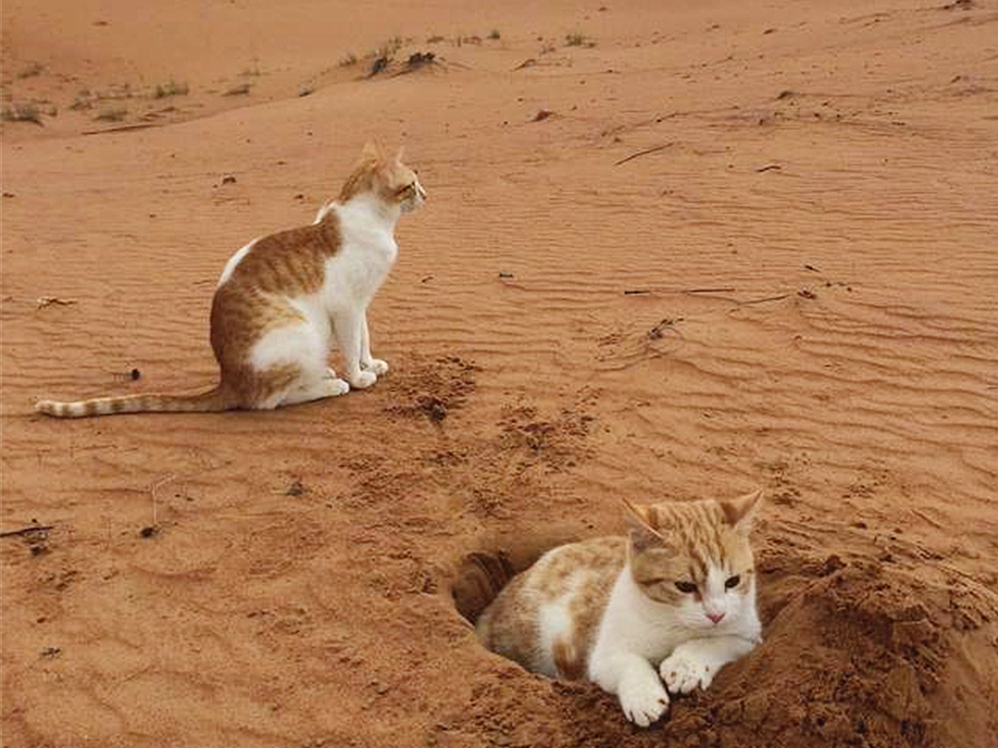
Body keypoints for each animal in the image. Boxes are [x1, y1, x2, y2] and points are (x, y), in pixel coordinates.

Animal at [35, 142, 424, 420]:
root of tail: (229, 381)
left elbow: (364, 339)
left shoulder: (362, 303)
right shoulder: (347, 308)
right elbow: (352, 344)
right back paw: (330, 384)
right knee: (268, 400)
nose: (426, 195)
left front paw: (370, 363)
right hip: (304, 334)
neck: (373, 220)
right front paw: (358, 377)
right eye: (412, 184)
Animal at [476, 488, 764, 728]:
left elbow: (715, 642)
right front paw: (643, 696)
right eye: (685, 586)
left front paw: (685, 666)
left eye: (733, 581)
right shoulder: (601, 657)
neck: (675, 623)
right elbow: (629, 662)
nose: (717, 614)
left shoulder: (750, 637)